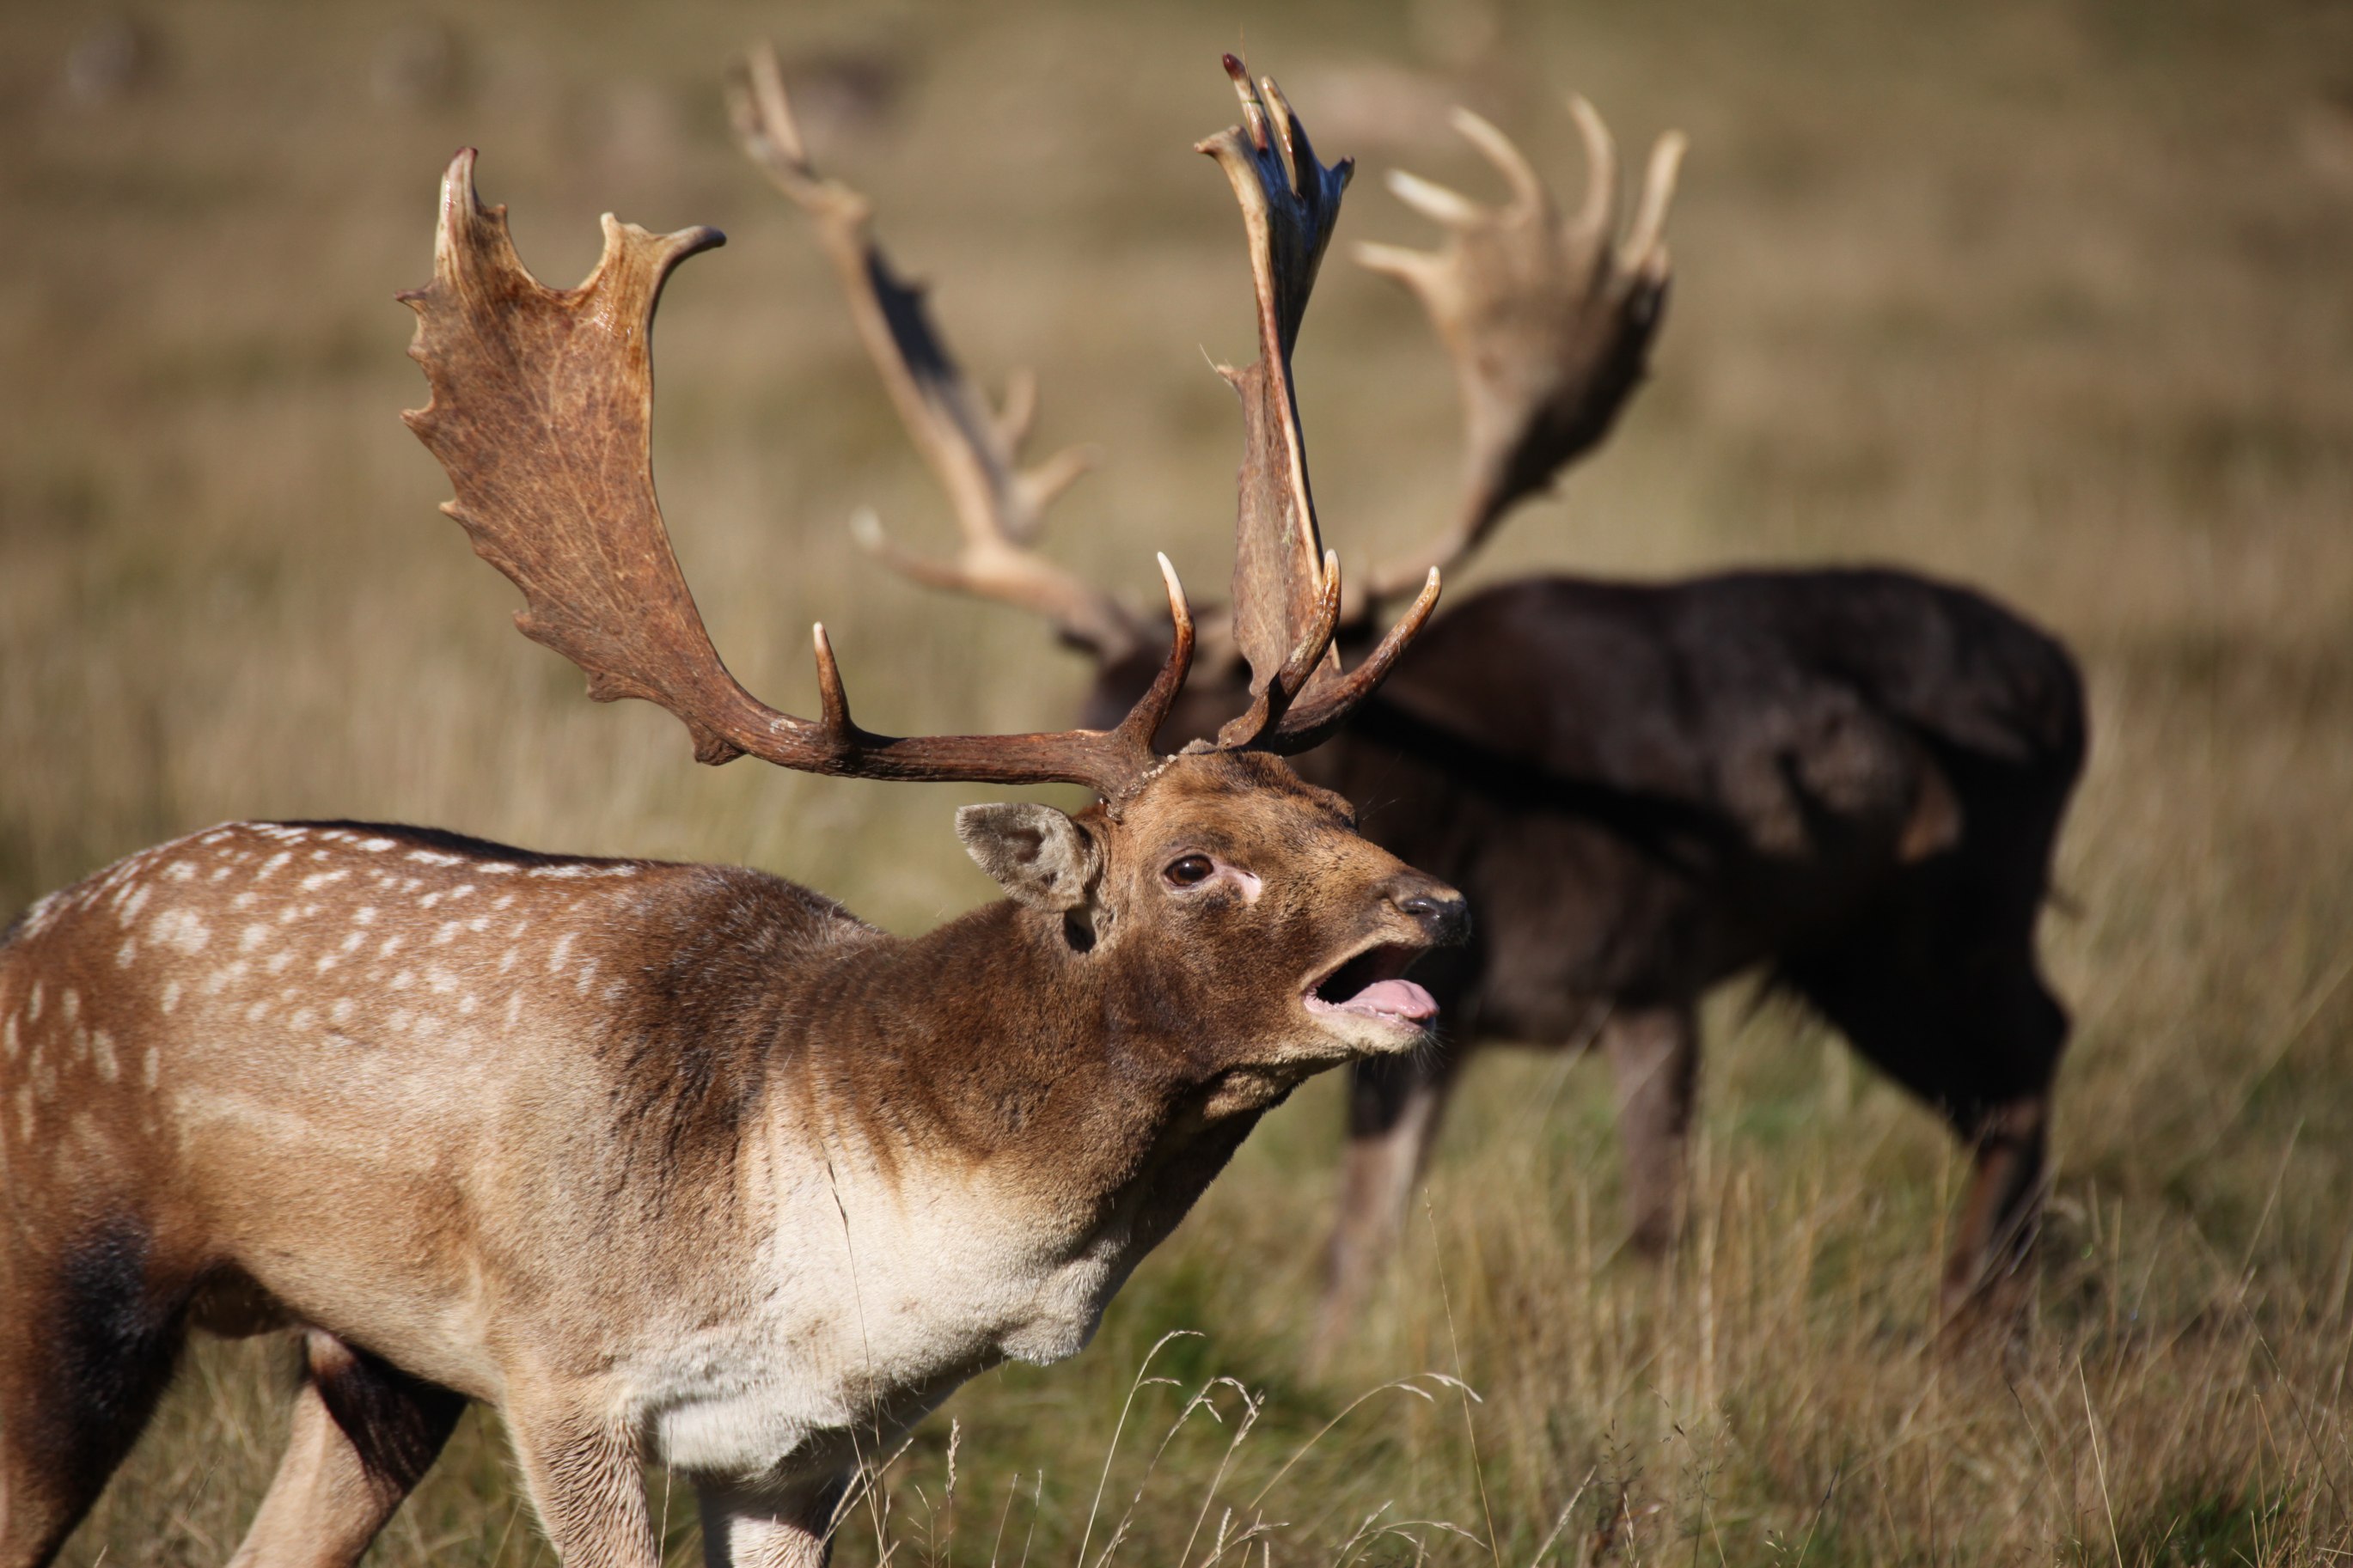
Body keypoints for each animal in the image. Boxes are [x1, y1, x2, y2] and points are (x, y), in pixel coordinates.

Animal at [0, 61, 1458, 1568]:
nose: (1435, 905)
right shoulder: (561, 1368)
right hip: (60, 1271)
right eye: (1189, 863)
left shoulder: (796, 1450)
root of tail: (28, 933)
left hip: (372, 1363)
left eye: (1337, 798)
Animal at [785, 82, 2080, 1354]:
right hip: (1852, 948)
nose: (1079, 882)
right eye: (1085, 706)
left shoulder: (1653, 966)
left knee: (2030, 1055)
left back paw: (1975, 1326)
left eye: (1234, 737)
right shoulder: (1417, 1025)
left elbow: (1656, 1229)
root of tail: (2066, 673)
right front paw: (1326, 1367)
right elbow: (1358, 1237)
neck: (1484, 836)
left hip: (1950, 909)